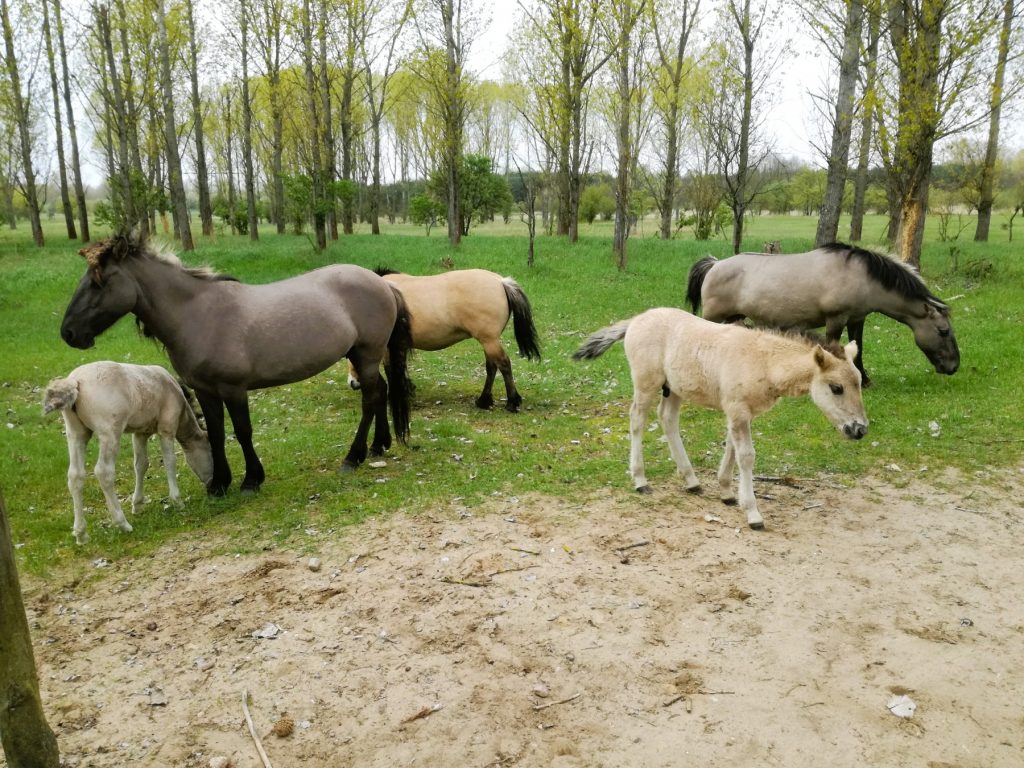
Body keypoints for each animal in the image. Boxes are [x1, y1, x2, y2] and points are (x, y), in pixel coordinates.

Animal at [42, 361, 214, 544]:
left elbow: (141, 464)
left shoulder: (140, 433)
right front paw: (177, 501)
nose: (212, 482)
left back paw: (81, 534)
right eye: (212, 452)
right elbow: (170, 461)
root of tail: (75, 381)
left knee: (75, 475)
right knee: (103, 472)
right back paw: (122, 524)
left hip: (76, 434)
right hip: (110, 433)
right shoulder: (166, 428)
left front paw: (137, 504)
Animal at [59, 233, 414, 495]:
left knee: (369, 399)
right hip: (360, 356)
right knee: (381, 392)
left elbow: (242, 431)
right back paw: (379, 445)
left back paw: (353, 456)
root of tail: (381, 282)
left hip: (367, 354)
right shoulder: (205, 390)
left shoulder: (233, 389)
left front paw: (251, 479)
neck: (195, 314)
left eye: (99, 282)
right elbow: (217, 433)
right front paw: (219, 483)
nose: (68, 333)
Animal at [347, 268, 542, 412]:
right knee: (492, 367)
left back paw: (512, 402)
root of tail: (502, 282)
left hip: (489, 340)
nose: (352, 383)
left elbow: (391, 370)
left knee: (504, 364)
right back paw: (484, 401)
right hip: (488, 341)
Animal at [573, 308, 868, 530]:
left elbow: (731, 448)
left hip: (675, 388)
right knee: (637, 419)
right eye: (837, 388)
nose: (860, 430)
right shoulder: (737, 409)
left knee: (667, 419)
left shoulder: (739, 412)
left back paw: (691, 480)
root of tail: (636, 319)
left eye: (859, 382)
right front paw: (752, 513)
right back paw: (640, 480)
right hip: (647, 383)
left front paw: (726, 492)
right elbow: (746, 456)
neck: (763, 361)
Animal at [686, 242, 959, 386]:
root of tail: (715, 264)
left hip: (734, 319)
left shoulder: (857, 318)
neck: (861, 277)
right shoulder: (836, 319)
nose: (953, 366)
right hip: (712, 318)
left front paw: (864, 379)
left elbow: (858, 347)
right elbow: (833, 346)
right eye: (943, 331)